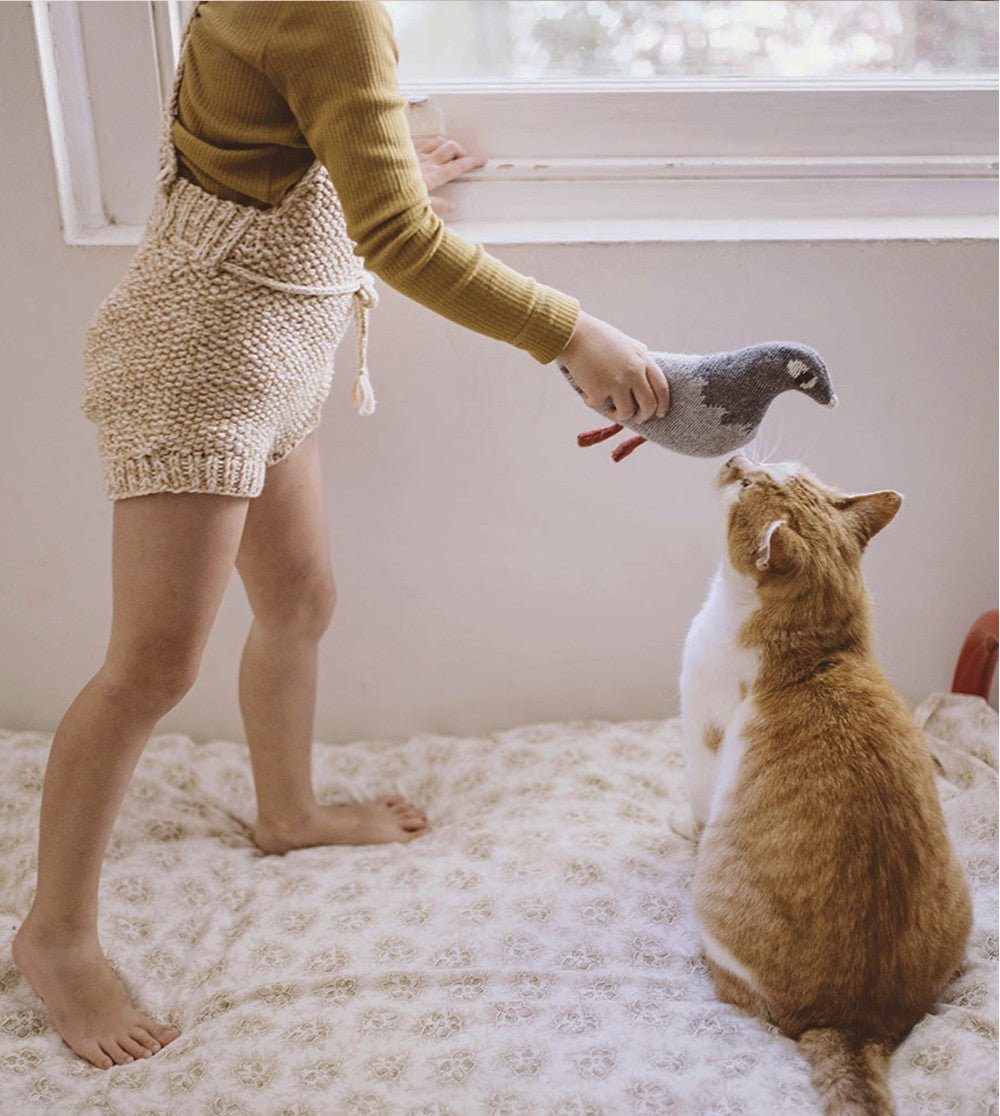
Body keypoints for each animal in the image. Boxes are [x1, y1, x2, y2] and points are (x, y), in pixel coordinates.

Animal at [674, 453, 973, 1116]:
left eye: (748, 485)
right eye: (771, 468)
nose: (736, 458)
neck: (818, 649)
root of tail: (857, 1023)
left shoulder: (704, 747)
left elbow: (696, 803)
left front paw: (680, 825)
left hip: (716, 902)